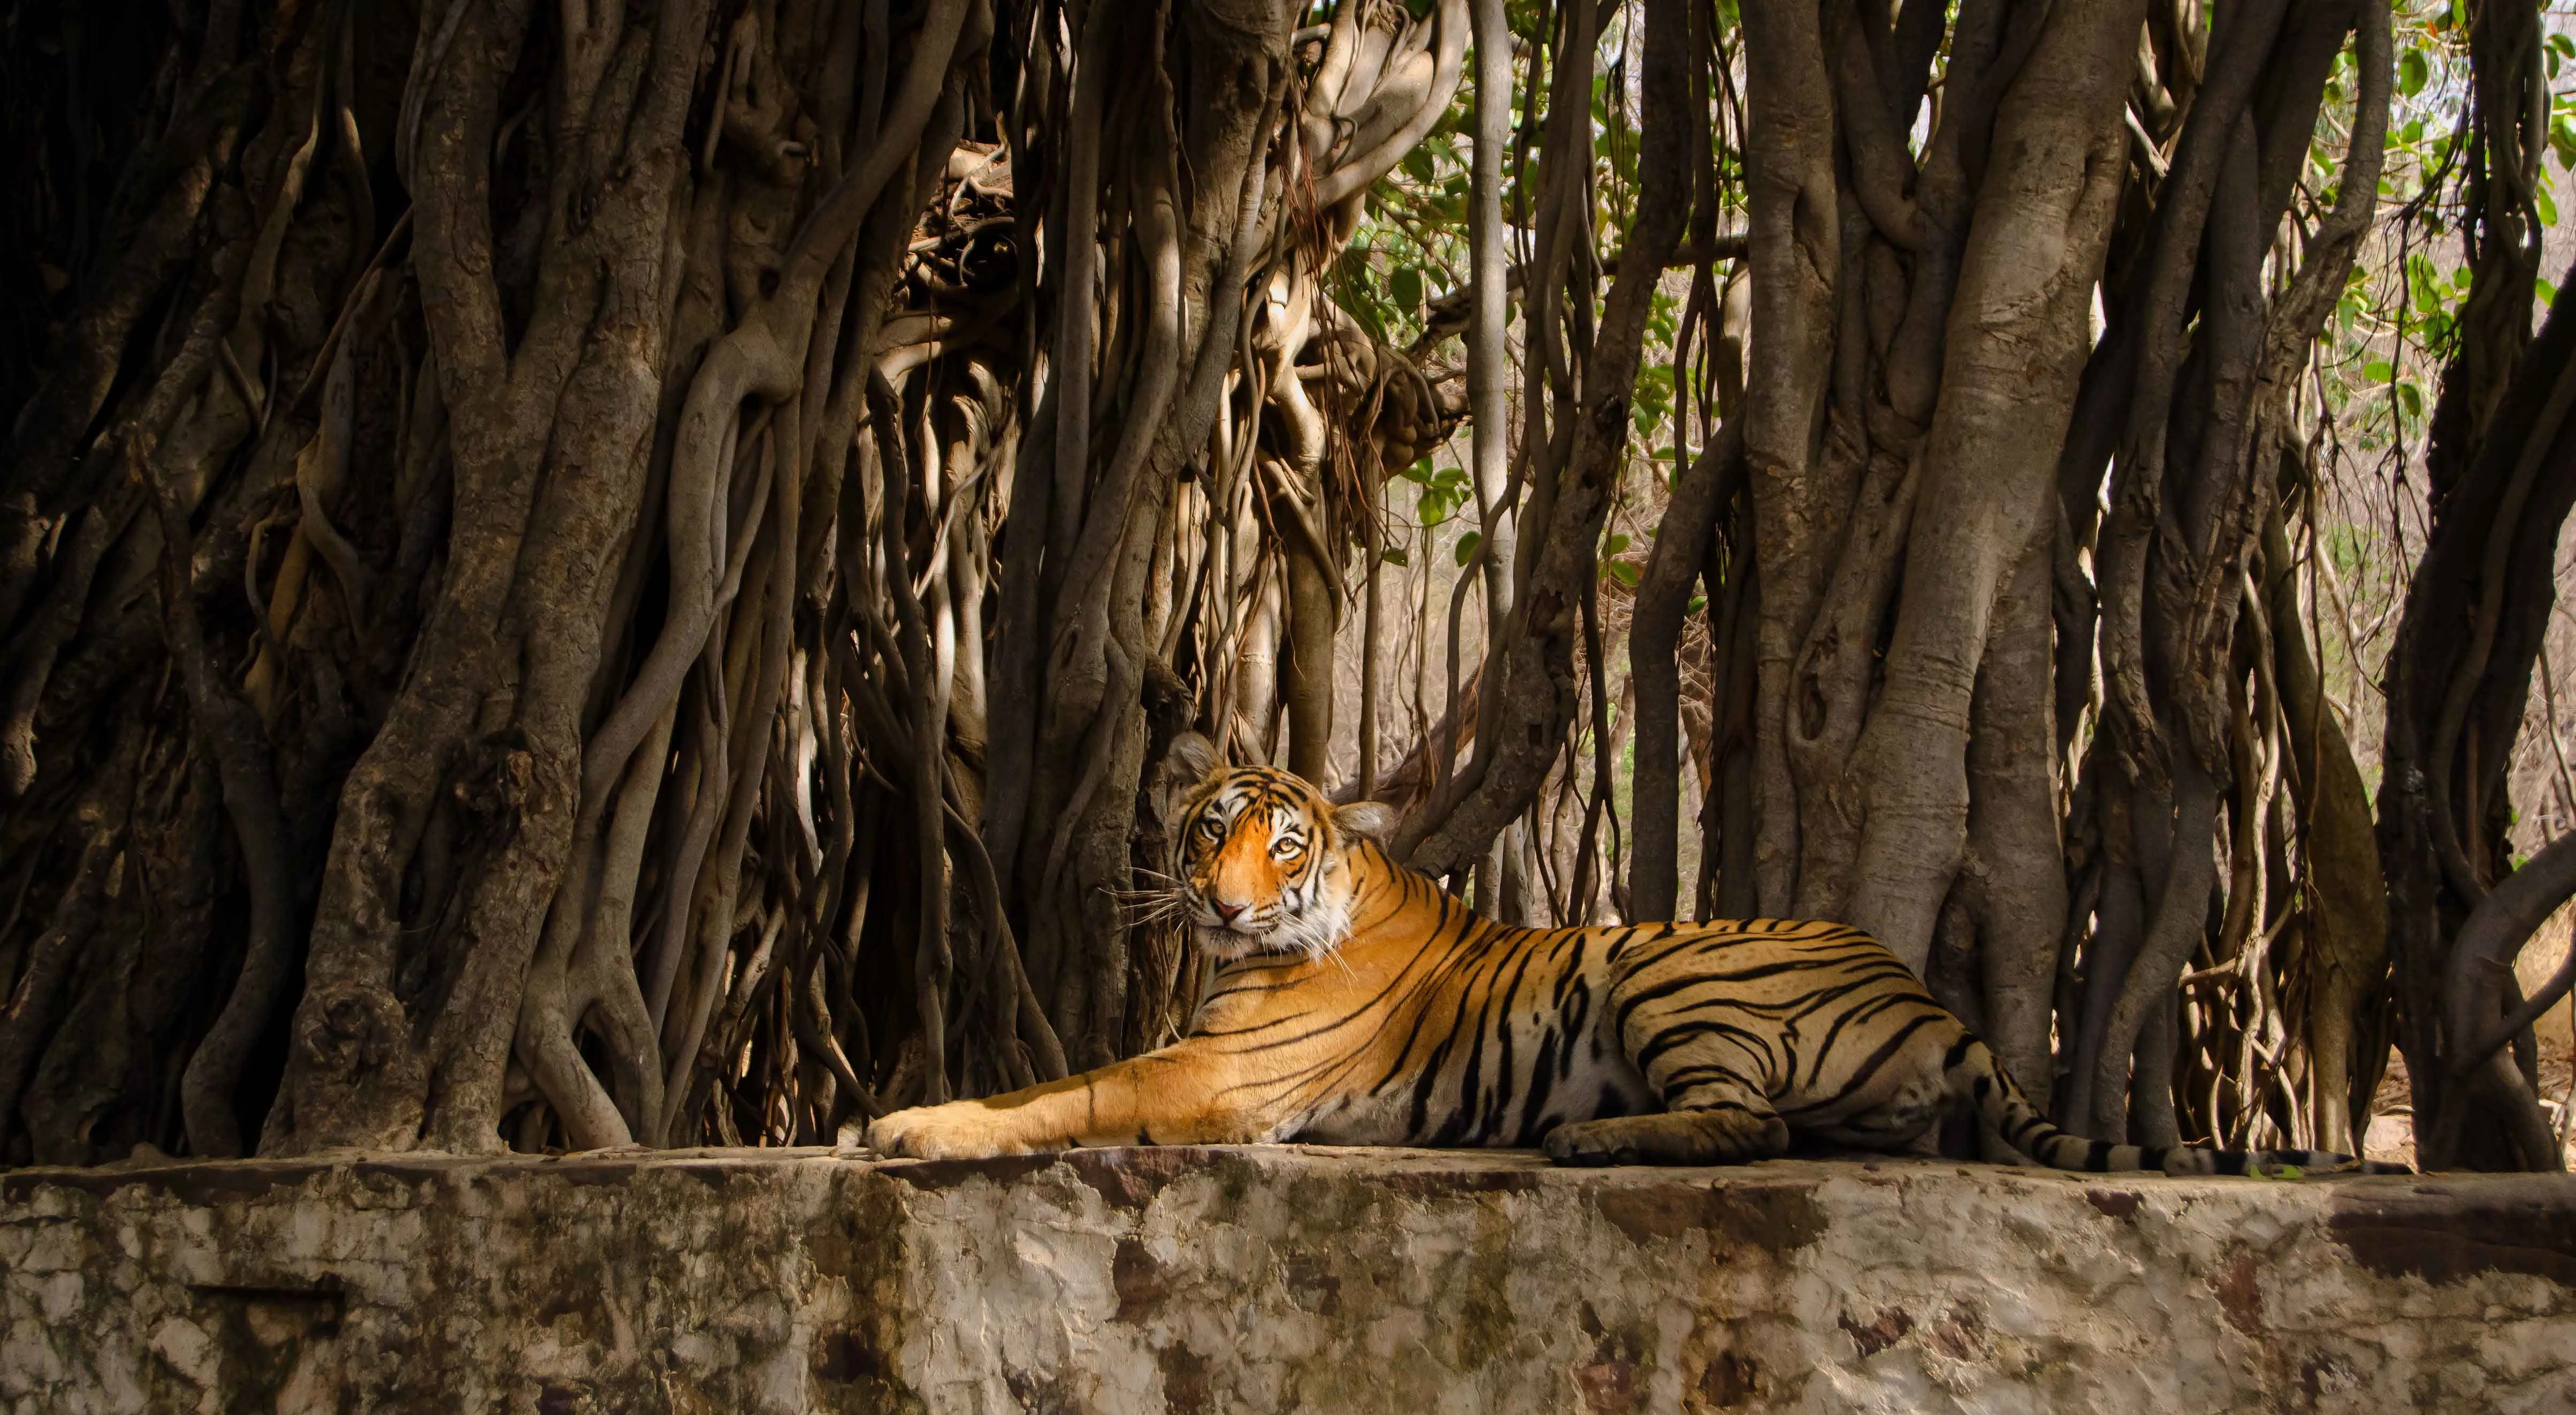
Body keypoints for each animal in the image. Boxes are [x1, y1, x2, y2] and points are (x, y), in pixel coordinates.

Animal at [867, 736, 2392, 1176]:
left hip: (1670, 967)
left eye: (1282, 845)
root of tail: (1921, 989)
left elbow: (1069, 1093)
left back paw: (1590, 1139)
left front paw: (914, 1126)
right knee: (1794, 1122)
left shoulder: (1216, 1080)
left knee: (1747, 1123)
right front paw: (900, 1109)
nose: (1227, 906)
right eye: (1207, 831)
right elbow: (1046, 1075)